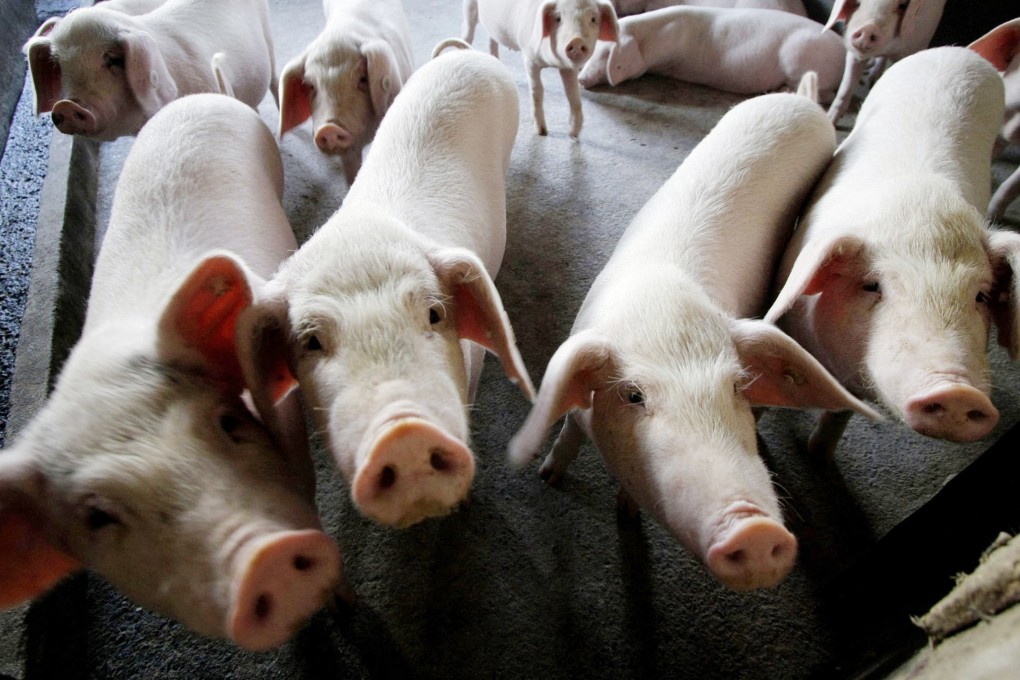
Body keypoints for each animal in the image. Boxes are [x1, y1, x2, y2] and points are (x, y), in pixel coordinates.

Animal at [462, 0, 620, 137]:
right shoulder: (529, 58)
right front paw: (542, 132)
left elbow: (573, 94)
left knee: (492, 38)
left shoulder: (569, 68)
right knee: (469, 31)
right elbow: (537, 90)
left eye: (593, 19)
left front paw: (573, 134)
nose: (576, 40)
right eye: (558, 18)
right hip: (470, 7)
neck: (552, 62)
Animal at [508, 85, 880, 591]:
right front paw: (548, 477)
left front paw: (625, 513)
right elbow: (567, 433)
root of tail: (799, 100)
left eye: (737, 387)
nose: (755, 529)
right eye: (634, 395)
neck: (662, 308)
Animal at [577, 5, 846, 102]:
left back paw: (780, 90)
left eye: (606, 54)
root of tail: (843, 50)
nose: (580, 79)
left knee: (826, 93)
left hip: (799, 56)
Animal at [764, 47, 1020, 459]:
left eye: (980, 296)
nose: (957, 392)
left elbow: (840, 414)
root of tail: (958, 52)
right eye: (873, 286)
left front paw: (818, 454)